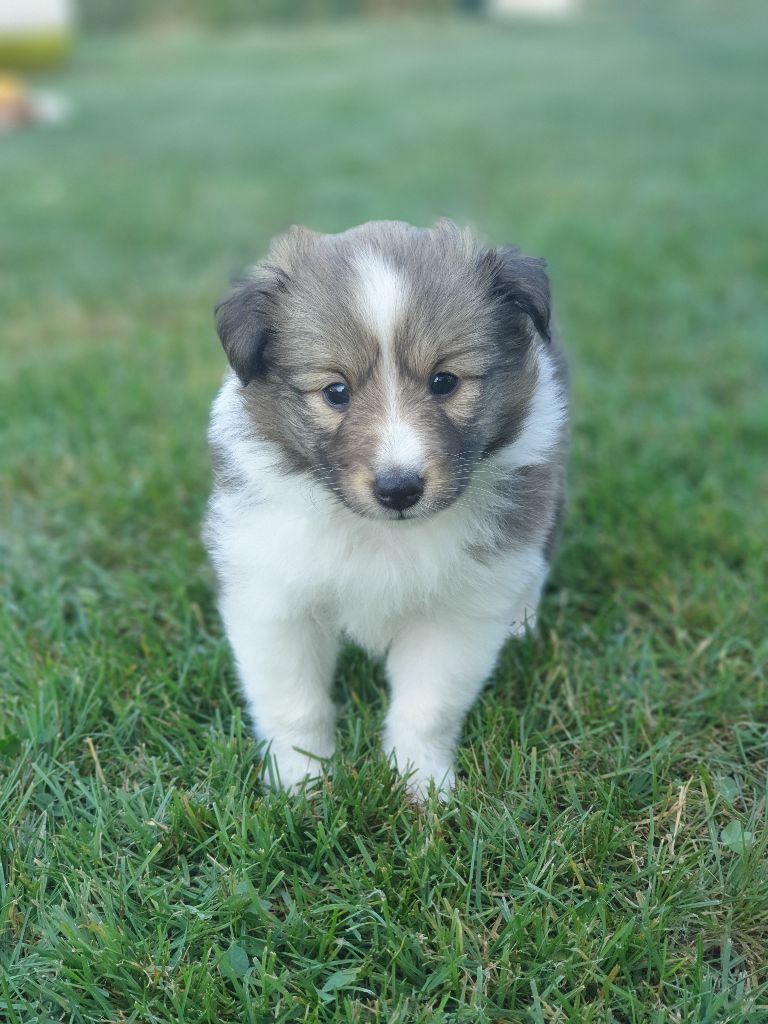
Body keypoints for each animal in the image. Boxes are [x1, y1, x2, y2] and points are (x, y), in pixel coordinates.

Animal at [201, 220, 569, 794]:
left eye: (444, 381)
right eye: (336, 391)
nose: (399, 489)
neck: (381, 533)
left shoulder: (457, 612)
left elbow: (426, 707)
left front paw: (423, 787)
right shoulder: (274, 595)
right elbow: (295, 705)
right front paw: (302, 785)